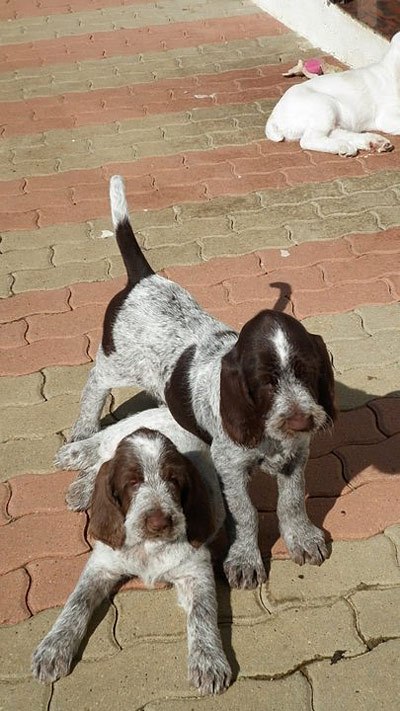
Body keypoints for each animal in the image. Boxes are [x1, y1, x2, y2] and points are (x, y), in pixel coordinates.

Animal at [32, 408, 231, 695]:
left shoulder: (196, 572)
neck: (148, 546)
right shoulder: (101, 566)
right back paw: (75, 461)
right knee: (100, 454)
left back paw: (81, 488)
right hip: (119, 432)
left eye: (173, 480)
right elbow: (76, 603)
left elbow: (202, 613)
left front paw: (208, 661)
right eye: (132, 483)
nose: (159, 522)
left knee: (99, 465)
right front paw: (53, 647)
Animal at [69, 175, 336, 590]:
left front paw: (301, 538)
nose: (301, 421)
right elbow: (246, 514)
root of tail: (143, 279)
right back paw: (83, 432)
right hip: (117, 362)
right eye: (265, 383)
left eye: (307, 371)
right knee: (95, 385)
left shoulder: (296, 456)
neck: (266, 431)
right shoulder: (229, 468)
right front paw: (244, 559)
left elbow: (291, 501)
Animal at [265, 32, 400, 156]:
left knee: (334, 132)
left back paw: (372, 142)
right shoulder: (386, 117)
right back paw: (345, 147)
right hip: (324, 105)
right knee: (309, 140)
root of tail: (274, 117)